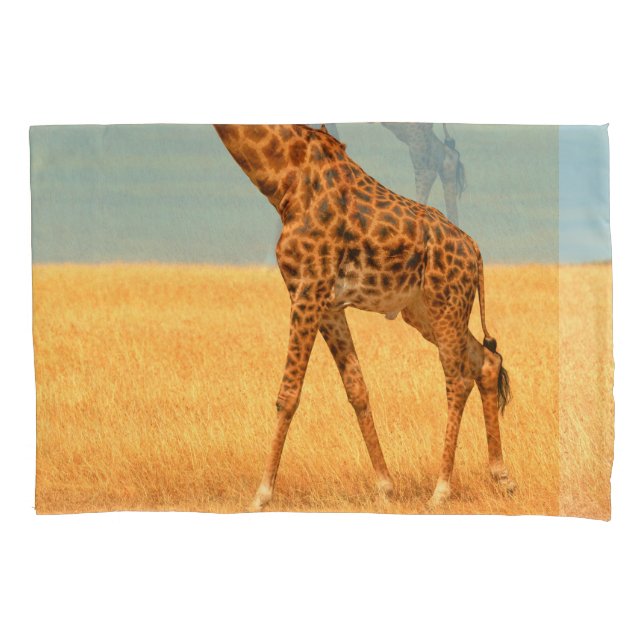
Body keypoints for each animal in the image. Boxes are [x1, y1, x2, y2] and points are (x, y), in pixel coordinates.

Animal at [213, 124, 514, 512]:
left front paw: (261, 495)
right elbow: (356, 388)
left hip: (447, 304)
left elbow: (288, 394)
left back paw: (441, 489)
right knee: (487, 360)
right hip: (425, 311)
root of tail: (476, 252)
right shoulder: (328, 304)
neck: (283, 182)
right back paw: (502, 476)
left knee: (458, 379)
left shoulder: (307, 290)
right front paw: (385, 485)